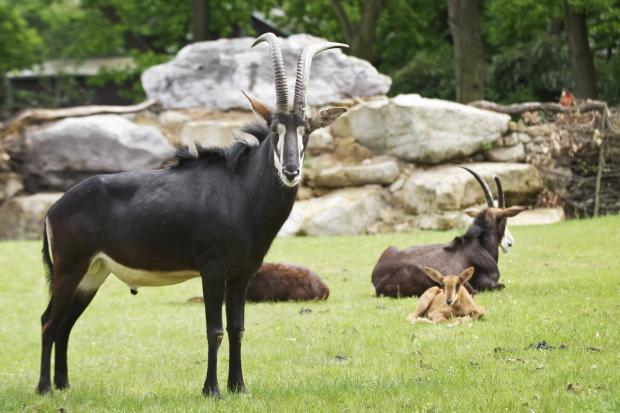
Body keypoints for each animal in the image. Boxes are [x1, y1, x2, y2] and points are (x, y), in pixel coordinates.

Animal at [36, 33, 348, 396]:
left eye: (306, 129)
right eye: (274, 129)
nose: (291, 170)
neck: (240, 188)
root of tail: (55, 208)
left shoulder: (242, 275)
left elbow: (237, 328)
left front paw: (238, 387)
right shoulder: (212, 270)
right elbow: (215, 330)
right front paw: (211, 389)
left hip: (92, 274)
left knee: (65, 324)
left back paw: (63, 385)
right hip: (69, 269)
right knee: (49, 321)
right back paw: (44, 388)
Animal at [370, 166, 524, 298]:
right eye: (504, 220)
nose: (509, 243)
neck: (479, 244)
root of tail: (378, 282)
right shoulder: (489, 283)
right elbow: (501, 285)